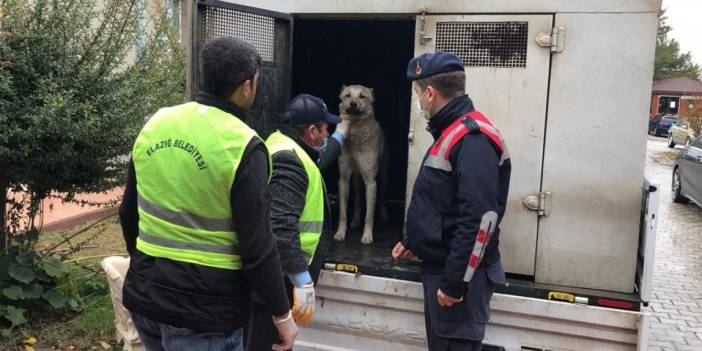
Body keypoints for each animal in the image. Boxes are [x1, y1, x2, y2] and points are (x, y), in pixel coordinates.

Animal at [334, 85, 390, 245]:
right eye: (347, 96)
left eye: (362, 96)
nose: (353, 104)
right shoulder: (343, 179)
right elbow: (342, 212)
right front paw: (340, 233)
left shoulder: (371, 182)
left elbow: (369, 216)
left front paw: (367, 236)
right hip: (356, 180)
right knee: (358, 200)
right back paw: (355, 220)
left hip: (383, 176)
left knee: (381, 197)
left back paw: (383, 215)